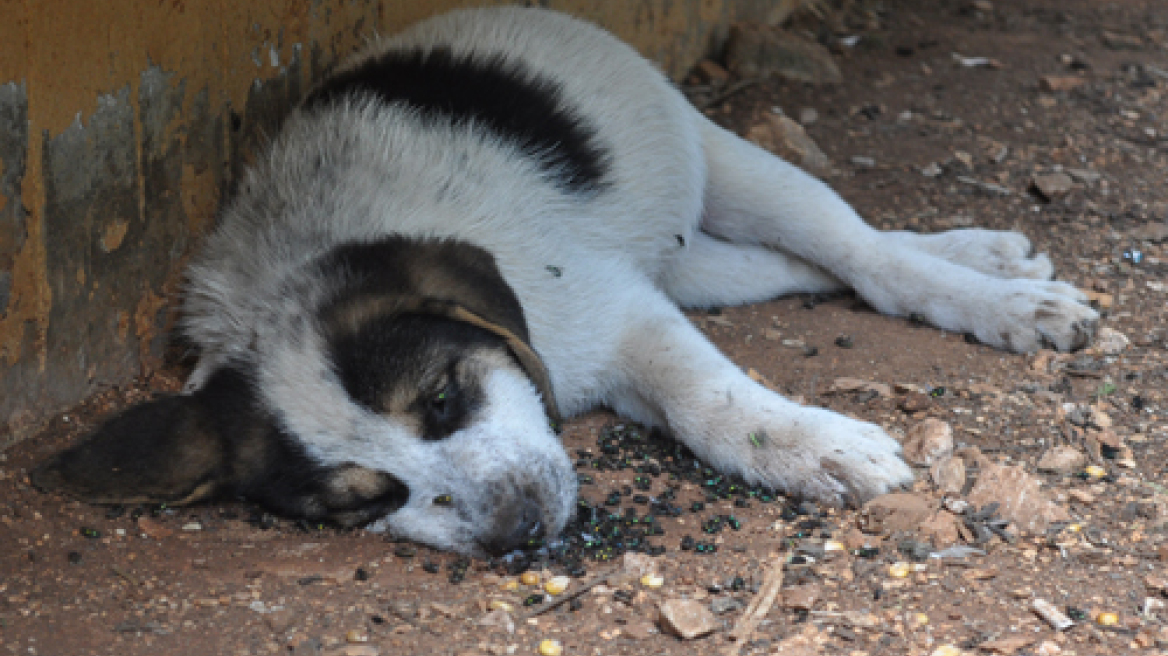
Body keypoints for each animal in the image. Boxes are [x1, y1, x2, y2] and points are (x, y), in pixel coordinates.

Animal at [31, 7, 1097, 553]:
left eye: (443, 398)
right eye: (361, 503)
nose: (519, 531)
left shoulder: (620, 313)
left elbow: (713, 401)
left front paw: (810, 449)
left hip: (701, 149)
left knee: (857, 249)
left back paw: (1002, 298)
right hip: (686, 253)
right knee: (794, 265)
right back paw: (988, 254)